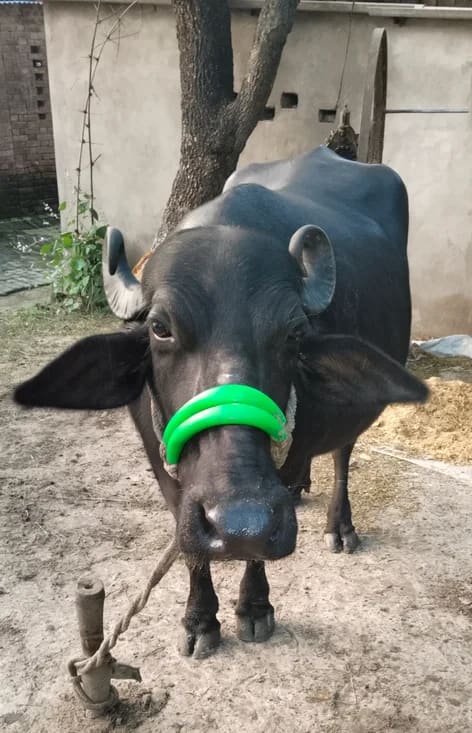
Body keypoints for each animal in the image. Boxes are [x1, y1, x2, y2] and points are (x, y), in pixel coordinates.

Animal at [15, 146, 427, 658]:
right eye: (160, 328)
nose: (239, 522)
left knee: (342, 455)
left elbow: (258, 552)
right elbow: (189, 541)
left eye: (294, 334)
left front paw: (254, 609)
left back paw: (340, 527)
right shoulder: (164, 468)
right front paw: (199, 621)